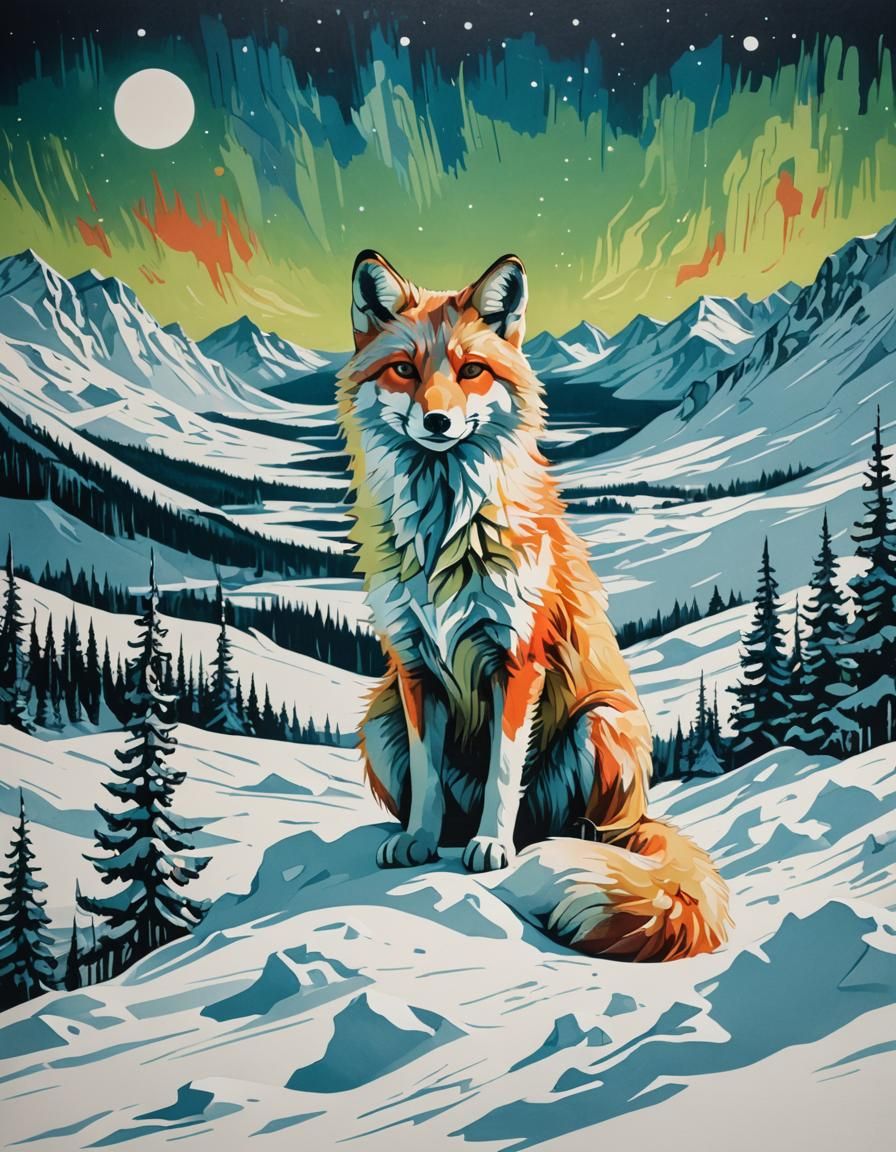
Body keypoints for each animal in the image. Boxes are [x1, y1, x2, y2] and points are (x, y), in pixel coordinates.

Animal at [336, 249, 730, 961]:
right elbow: (429, 780)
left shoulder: (518, 659)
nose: (437, 422)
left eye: (471, 370)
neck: (443, 538)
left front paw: (492, 846)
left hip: (600, 726)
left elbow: (502, 771)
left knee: (589, 832)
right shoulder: (412, 667)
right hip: (377, 720)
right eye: (405, 369)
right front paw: (419, 840)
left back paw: (539, 843)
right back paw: (443, 837)